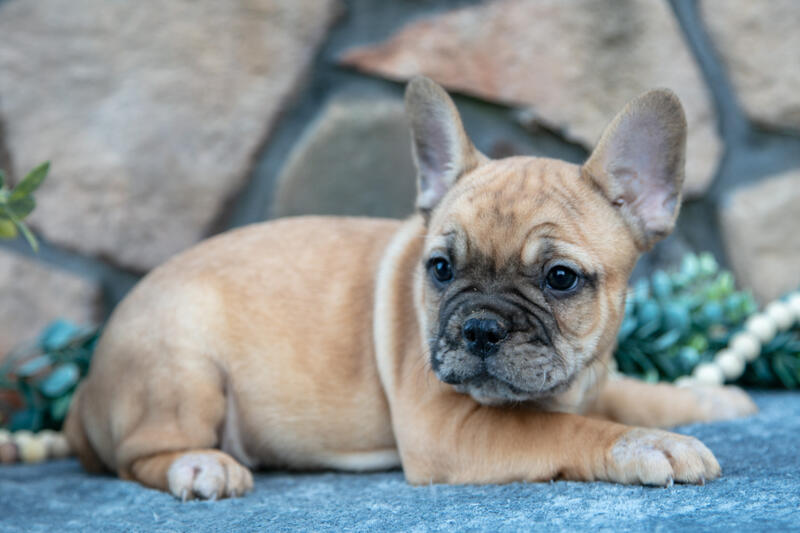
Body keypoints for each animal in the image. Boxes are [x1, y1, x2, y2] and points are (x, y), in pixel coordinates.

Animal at [64, 77, 756, 500]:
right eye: (441, 269)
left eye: (560, 279)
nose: (479, 327)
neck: (566, 387)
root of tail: (86, 386)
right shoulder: (448, 428)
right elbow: (571, 432)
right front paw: (650, 445)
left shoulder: (597, 373)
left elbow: (633, 391)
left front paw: (704, 398)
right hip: (182, 365)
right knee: (139, 454)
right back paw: (201, 465)